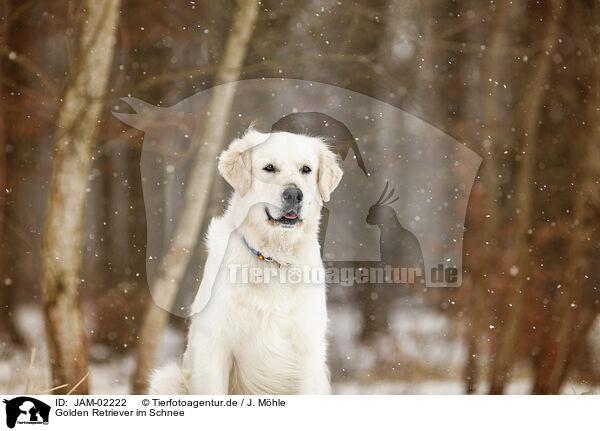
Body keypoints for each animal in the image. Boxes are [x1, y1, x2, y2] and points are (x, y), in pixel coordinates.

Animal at [150, 127, 342, 394]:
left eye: (306, 169)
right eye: (269, 168)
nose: (294, 194)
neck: (272, 258)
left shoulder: (307, 351)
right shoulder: (214, 345)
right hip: (166, 379)